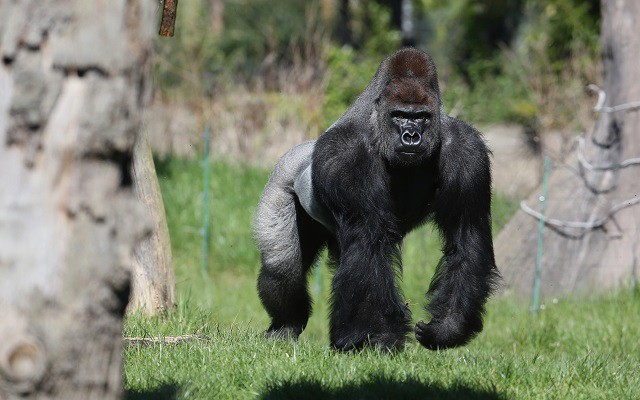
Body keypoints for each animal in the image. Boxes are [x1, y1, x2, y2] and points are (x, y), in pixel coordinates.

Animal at [252, 48, 498, 352]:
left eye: (422, 117)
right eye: (399, 115)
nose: (411, 136)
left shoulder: (468, 151)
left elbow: (466, 235)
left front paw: (448, 327)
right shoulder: (345, 153)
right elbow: (369, 240)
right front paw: (375, 336)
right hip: (282, 176)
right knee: (281, 268)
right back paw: (286, 323)